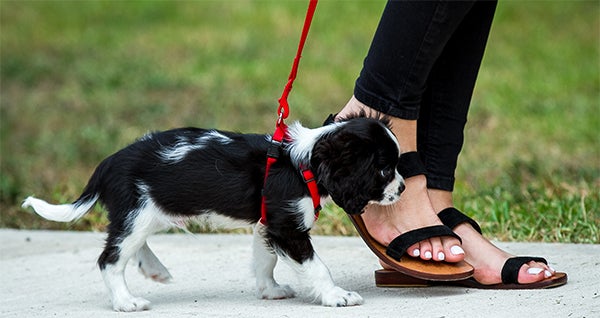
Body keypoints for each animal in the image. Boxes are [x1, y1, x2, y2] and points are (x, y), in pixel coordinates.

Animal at [24, 114, 408, 310]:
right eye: (384, 170)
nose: (403, 188)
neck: (304, 164)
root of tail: (109, 162)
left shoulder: (267, 224)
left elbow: (265, 260)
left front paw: (269, 291)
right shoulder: (286, 226)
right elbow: (317, 267)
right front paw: (336, 296)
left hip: (145, 214)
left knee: (126, 245)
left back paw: (154, 269)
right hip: (140, 212)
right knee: (110, 259)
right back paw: (125, 301)